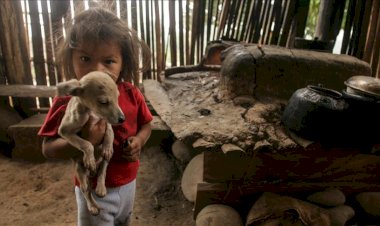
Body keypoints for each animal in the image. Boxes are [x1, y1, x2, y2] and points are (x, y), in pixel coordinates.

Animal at [56, 71, 124, 215]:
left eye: (117, 98)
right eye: (103, 102)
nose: (123, 119)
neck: (92, 113)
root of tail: (91, 173)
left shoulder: (105, 121)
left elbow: (109, 131)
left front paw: (107, 147)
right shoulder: (64, 130)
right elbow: (86, 144)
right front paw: (89, 158)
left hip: (104, 161)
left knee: (102, 172)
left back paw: (101, 188)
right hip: (80, 171)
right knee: (86, 191)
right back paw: (92, 206)